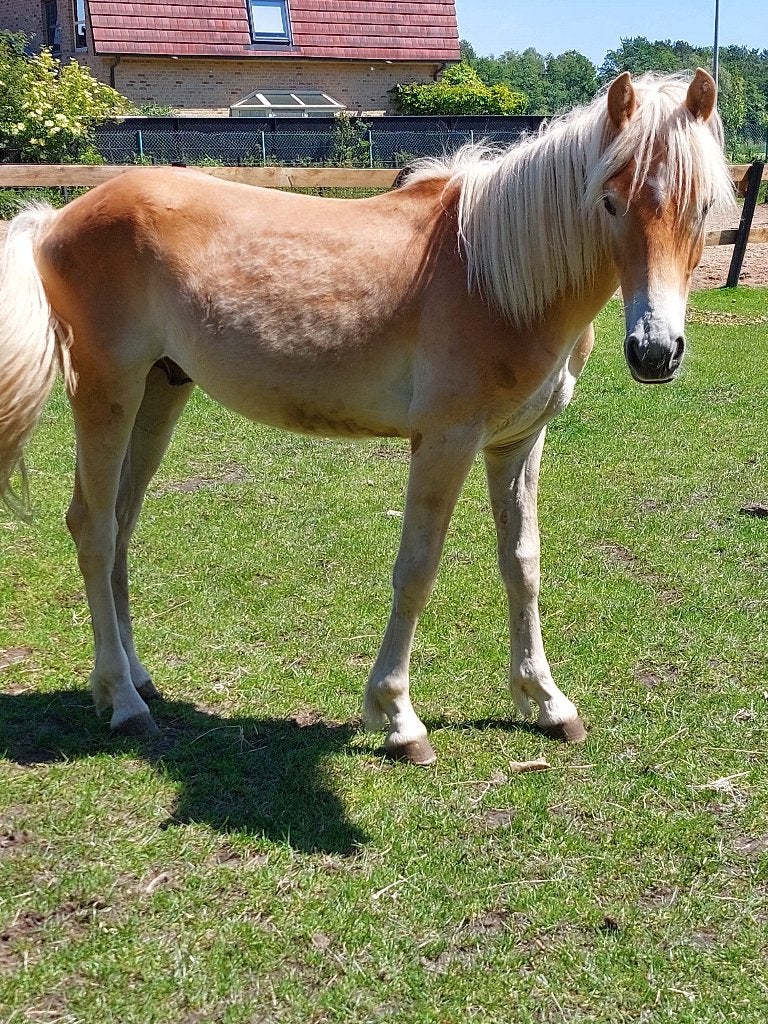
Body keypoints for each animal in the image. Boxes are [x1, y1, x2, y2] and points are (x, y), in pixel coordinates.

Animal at [0, 70, 735, 765]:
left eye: (704, 206)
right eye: (609, 200)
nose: (654, 352)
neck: (492, 275)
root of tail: (57, 219)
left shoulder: (519, 442)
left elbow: (522, 563)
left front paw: (547, 702)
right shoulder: (445, 442)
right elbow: (417, 571)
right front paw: (398, 718)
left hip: (160, 392)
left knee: (122, 524)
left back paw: (137, 679)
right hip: (107, 392)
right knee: (94, 529)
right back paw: (122, 702)